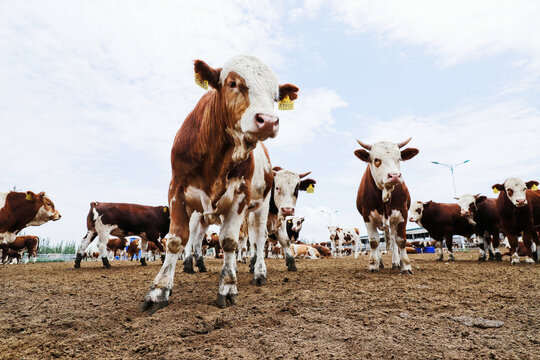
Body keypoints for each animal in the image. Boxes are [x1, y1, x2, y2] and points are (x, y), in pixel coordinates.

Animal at [140, 54, 300, 314]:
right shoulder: (177, 190)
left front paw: (227, 286)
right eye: (233, 83)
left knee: (258, 238)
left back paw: (258, 272)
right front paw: (159, 291)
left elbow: (229, 242)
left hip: (260, 208)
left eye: (275, 96)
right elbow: (176, 240)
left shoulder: (240, 197)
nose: (268, 121)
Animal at [356, 138, 420, 272]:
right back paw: (379, 262)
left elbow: (400, 240)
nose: (394, 176)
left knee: (393, 239)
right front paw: (373, 264)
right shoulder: (367, 215)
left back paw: (396, 261)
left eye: (399, 158)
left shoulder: (402, 213)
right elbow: (374, 242)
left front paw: (405, 265)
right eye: (376, 160)